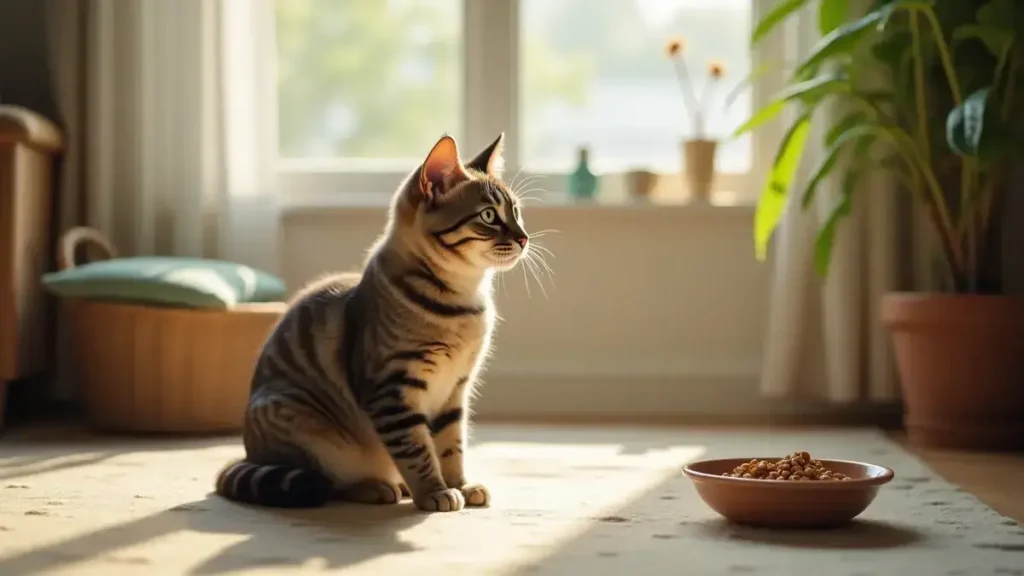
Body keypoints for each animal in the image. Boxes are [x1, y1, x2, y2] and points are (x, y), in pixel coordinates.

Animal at [211, 133, 528, 510]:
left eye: (517, 212)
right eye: (489, 215)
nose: (524, 237)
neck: (465, 301)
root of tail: (248, 454)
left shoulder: (455, 390)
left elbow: (452, 447)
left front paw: (461, 486)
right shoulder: (392, 389)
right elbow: (416, 450)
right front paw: (434, 492)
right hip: (305, 424)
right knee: (327, 482)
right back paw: (378, 487)